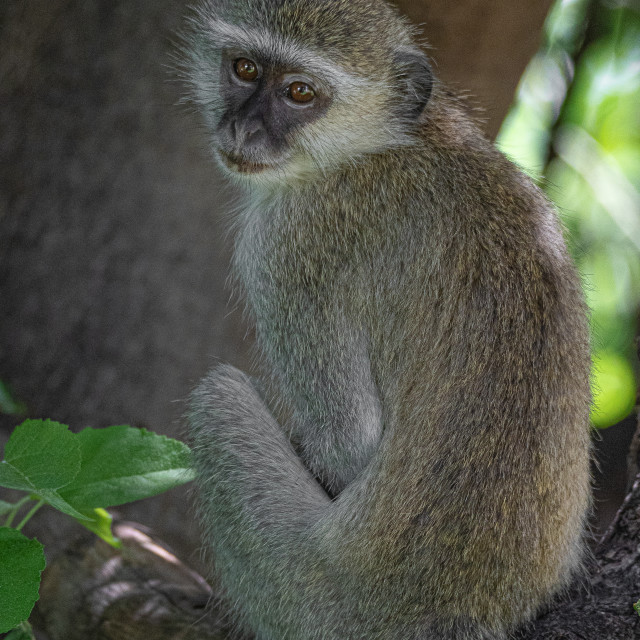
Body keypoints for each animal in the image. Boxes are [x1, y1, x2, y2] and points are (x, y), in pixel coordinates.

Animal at [180, 2, 592, 636]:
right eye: (245, 68)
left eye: (301, 92)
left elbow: (350, 445)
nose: (243, 131)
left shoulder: (288, 246)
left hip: (308, 600)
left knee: (217, 399)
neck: (388, 142)